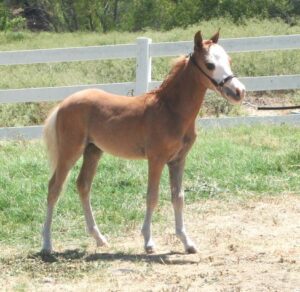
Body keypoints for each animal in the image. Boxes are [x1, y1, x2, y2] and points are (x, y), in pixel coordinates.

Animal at [41, 29, 245, 253]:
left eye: (229, 60)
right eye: (209, 64)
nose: (239, 92)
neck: (170, 109)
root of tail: (63, 104)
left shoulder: (178, 160)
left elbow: (178, 198)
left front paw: (187, 242)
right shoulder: (156, 159)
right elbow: (152, 197)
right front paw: (148, 242)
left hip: (93, 151)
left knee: (83, 185)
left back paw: (100, 239)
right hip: (70, 151)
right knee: (54, 188)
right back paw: (47, 244)